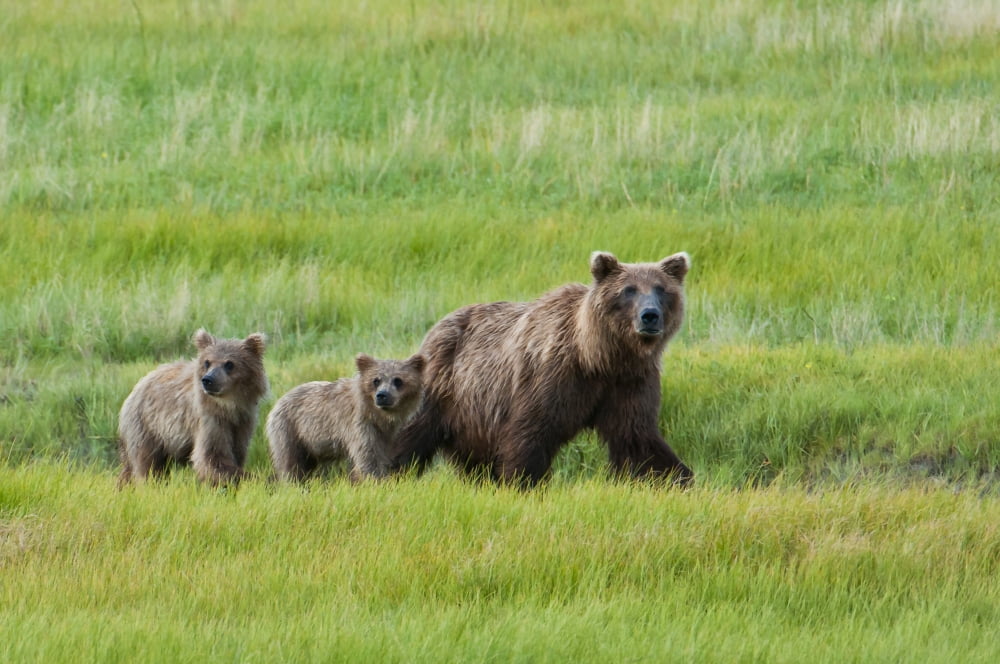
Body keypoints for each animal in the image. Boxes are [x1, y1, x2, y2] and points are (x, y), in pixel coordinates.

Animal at [117, 329, 268, 487]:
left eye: (229, 364)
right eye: (207, 362)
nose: (208, 380)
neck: (229, 406)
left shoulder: (242, 422)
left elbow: (237, 452)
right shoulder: (209, 420)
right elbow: (212, 457)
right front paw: (256, 478)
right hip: (147, 425)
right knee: (148, 463)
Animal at [266, 353, 425, 482]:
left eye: (398, 380)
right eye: (376, 380)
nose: (382, 395)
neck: (376, 415)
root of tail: (278, 401)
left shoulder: (384, 434)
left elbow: (380, 454)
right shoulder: (358, 424)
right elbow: (368, 457)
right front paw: (378, 481)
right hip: (290, 429)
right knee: (291, 462)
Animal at [390, 250, 693, 487]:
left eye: (661, 289)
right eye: (629, 290)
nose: (650, 316)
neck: (598, 357)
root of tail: (437, 327)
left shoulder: (628, 381)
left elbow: (636, 435)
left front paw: (679, 478)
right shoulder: (552, 376)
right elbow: (531, 431)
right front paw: (522, 482)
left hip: (472, 416)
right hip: (446, 387)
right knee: (410, 430)